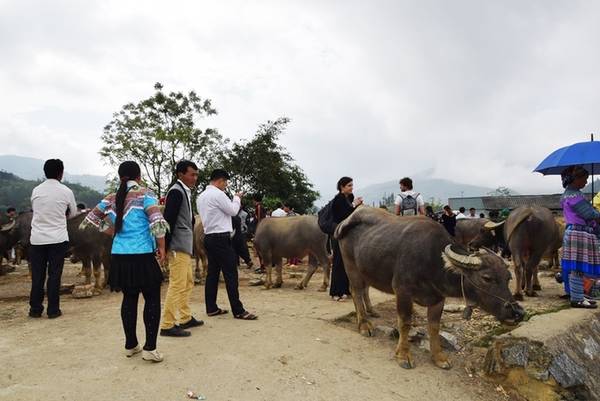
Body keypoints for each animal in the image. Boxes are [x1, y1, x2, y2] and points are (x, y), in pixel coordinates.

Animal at [336, 208, 524, 370]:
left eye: (508, 278)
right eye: (486, 278)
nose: (517, 313)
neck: (432, 261)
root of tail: (345, 222)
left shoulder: (438, 298)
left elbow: (434, 327)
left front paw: (439, 357)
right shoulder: (403, 291)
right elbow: (405, 323)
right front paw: (403, 355)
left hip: (366, 269)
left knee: (364, 290)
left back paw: (370, 313)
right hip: (351, 268)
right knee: (356, 291)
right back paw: (364, 325)